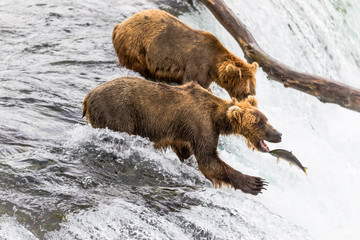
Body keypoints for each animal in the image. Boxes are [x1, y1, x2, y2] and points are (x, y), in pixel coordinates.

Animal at [82, 77, 282, 195]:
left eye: (266, 119)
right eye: (260, 122)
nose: (279, 134)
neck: (217, 118)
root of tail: (87, 96)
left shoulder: (183, 134)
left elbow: (189, 153)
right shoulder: (201, 124)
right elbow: (209, 160)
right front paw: (255, 183)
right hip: (118, 112)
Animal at [112, 9, 258, 100]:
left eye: (253, 89)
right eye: (247, 90)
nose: (249, 97)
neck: (213, 66)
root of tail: (119, 26)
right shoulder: (198, 65)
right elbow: (194, 82)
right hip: (137, 45)